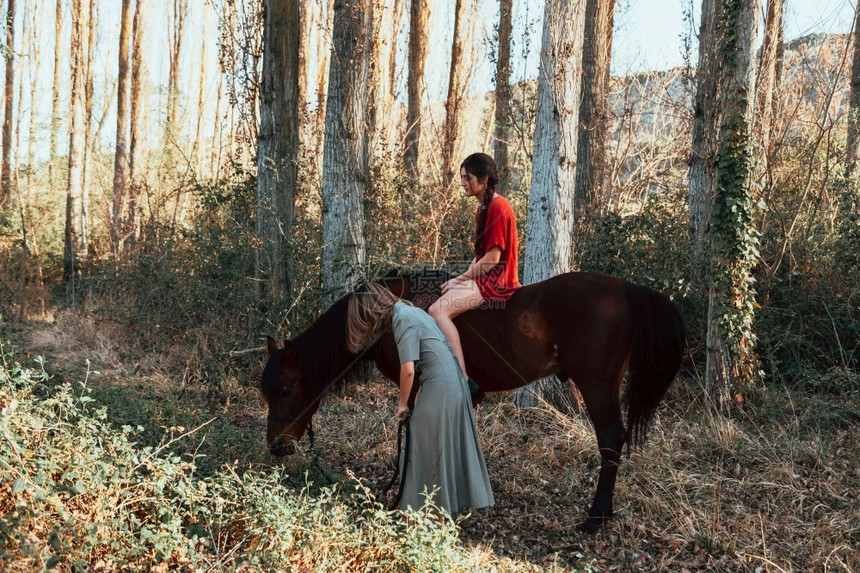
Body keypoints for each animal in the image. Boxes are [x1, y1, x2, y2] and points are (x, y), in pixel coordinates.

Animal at [260, 272, 684, 532]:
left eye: (285, 388)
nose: (276, 446)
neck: (389, 314)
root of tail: (627, 289)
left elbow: (411, 435)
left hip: (595, 387)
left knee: (611, 440)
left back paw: (596, 516)